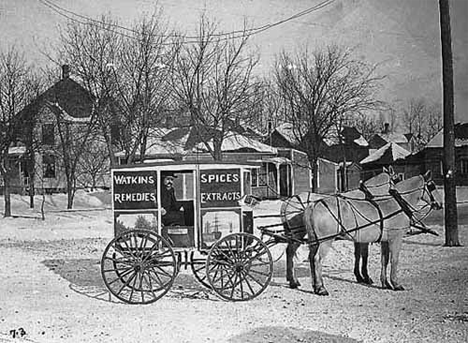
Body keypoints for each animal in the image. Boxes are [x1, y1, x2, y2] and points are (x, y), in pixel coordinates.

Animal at [304, 172, 442, 296]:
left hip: (314, 241)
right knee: (317, 259)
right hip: (325, 241)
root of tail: (314, 205)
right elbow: (394, 259)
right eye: (432, 186)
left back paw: (315, 286)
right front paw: (395, 284)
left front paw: (385, 283)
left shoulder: (384, 240)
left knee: (311, 258)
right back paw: (321, 288)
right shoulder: (395, 238)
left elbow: (384, 260)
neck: (397, 204)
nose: (440, 204)